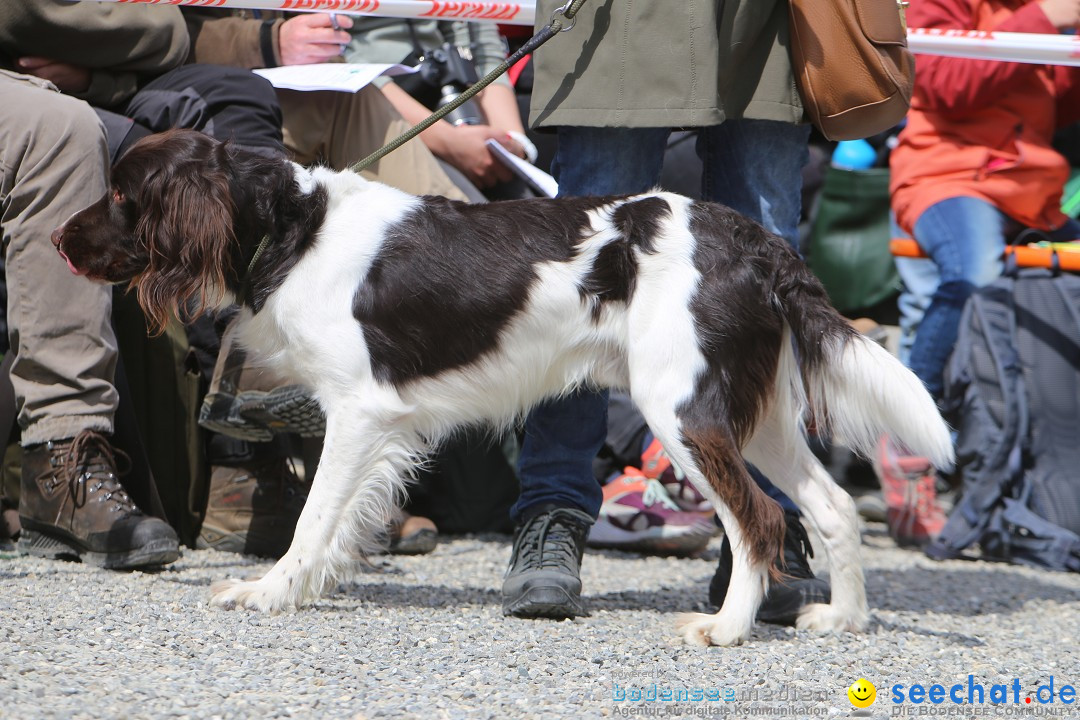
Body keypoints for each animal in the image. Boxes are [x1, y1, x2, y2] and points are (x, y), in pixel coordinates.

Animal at [52, 129, 954, 647]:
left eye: (124, 195)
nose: (60, 238)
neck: (295, 229)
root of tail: (756, 239)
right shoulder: (378, 422)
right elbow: (340, 520)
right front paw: (312, 587)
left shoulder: (358, 409)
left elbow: (311, 520)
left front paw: (271, 591)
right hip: (750, 413)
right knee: (830, 507)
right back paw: (842, 619)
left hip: (683, 410)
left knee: (759, 520)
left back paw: (725, 629)